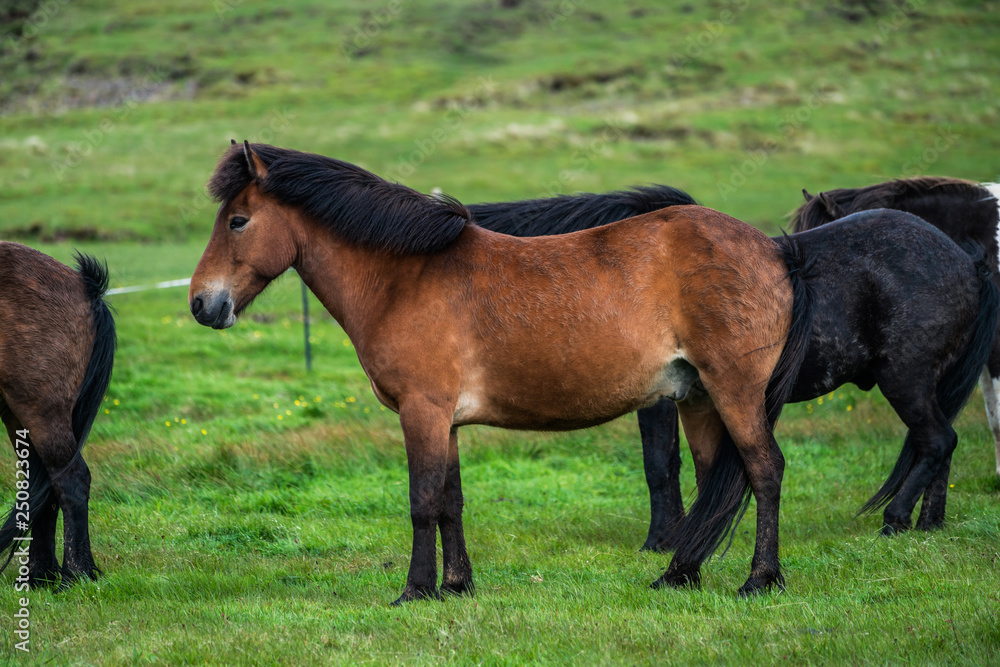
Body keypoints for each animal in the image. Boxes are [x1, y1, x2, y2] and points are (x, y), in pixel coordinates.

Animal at [0, 243, 116, 588]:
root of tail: (85, 287)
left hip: (41, 411)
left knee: (71, 480)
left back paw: (76, 573)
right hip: (19, 418)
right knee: (40, 487)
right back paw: (39, 575)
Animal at [188, 141, 812, 600]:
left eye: (238, 221)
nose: (201, 303)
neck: (405, 278)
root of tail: (774, 250)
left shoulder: (422, 412)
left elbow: (422, 501)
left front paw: (416, 590)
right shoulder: (446, 421)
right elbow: (451, 502)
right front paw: (457, 585)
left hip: (734, 391)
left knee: (765, 470)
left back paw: (760, 580)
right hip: (698, 398)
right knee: (716, 483)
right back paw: (681, 575)